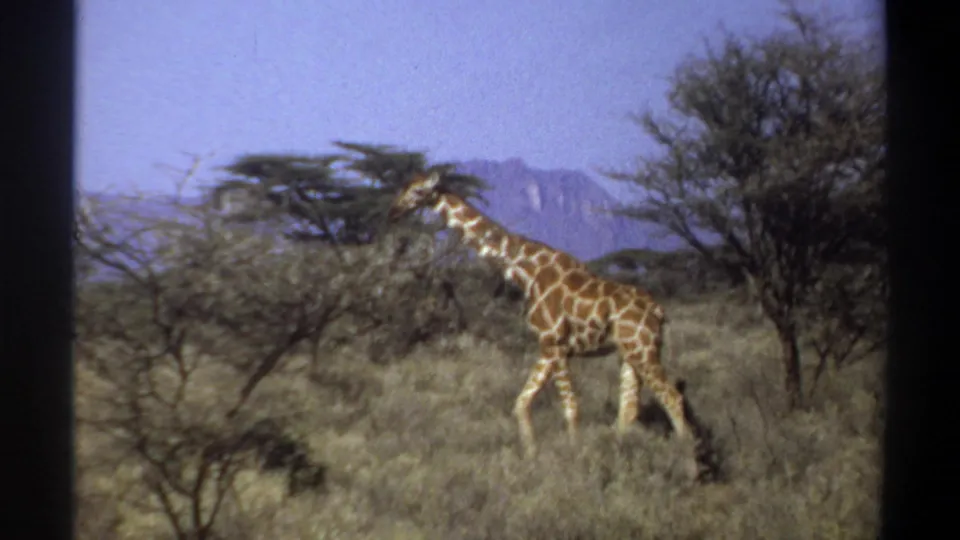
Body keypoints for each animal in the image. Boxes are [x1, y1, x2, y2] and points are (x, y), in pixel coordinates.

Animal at [386, 169, 693, 458]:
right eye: (404, 186)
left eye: (418, 191)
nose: (393, 211)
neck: (526, 271)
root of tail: (658, 310)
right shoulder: (547, 347)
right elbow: (521, 403)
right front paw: (531, 456)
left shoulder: (555, 343)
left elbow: (570, 407)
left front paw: (574, 455)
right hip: (628, 353)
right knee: (629, 409)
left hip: (643, 350)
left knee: (672, 397)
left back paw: (688, 461)